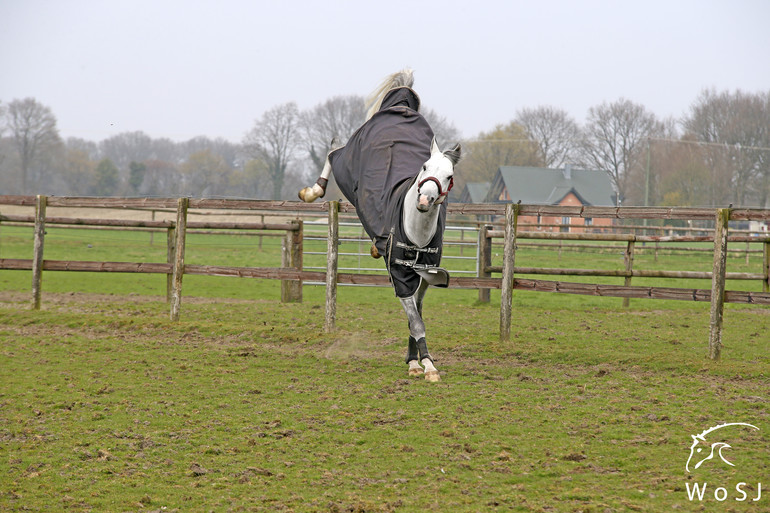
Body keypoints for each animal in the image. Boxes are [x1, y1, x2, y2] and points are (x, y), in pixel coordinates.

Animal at [298, 69, 456, 380]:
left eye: (449, 176)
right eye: (423, 167)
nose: (424, 200)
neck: (416, 234)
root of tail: (402, 102)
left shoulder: (424, 278)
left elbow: (415, 316)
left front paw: (415, 362)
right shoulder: (399, 275)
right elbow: (415, 321)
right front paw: (427, 366)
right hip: (345, 165)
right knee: (333, 149)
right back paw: (314, 190)